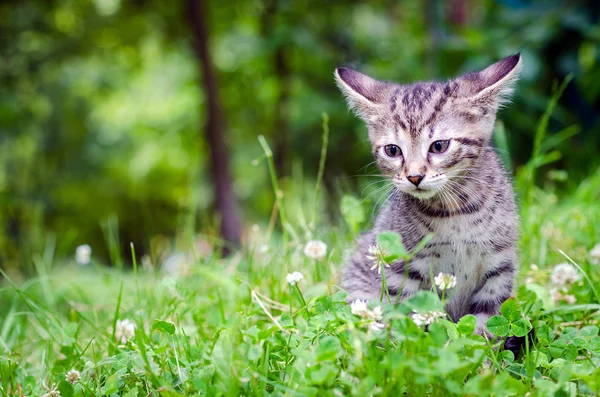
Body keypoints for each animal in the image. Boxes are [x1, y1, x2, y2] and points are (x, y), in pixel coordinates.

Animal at [336, 55, 524, 334]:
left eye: (439, 146)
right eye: (393, 150)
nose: (414, 177)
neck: (456, 212)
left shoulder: (499, 267)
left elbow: (485, 326)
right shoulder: (404, 269)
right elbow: (409, 322)